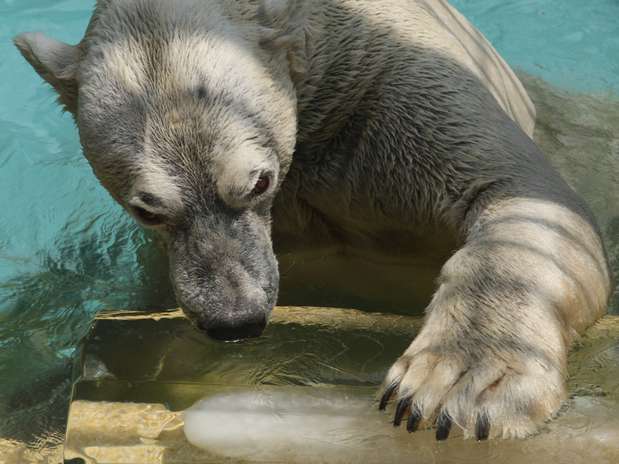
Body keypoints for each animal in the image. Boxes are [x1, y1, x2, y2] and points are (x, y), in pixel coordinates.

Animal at [14, 0, 612, 440]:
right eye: (146, 208)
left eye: (258, 181)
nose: (234, 321)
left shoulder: (391, 88)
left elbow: (516, 195)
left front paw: (459, 384)